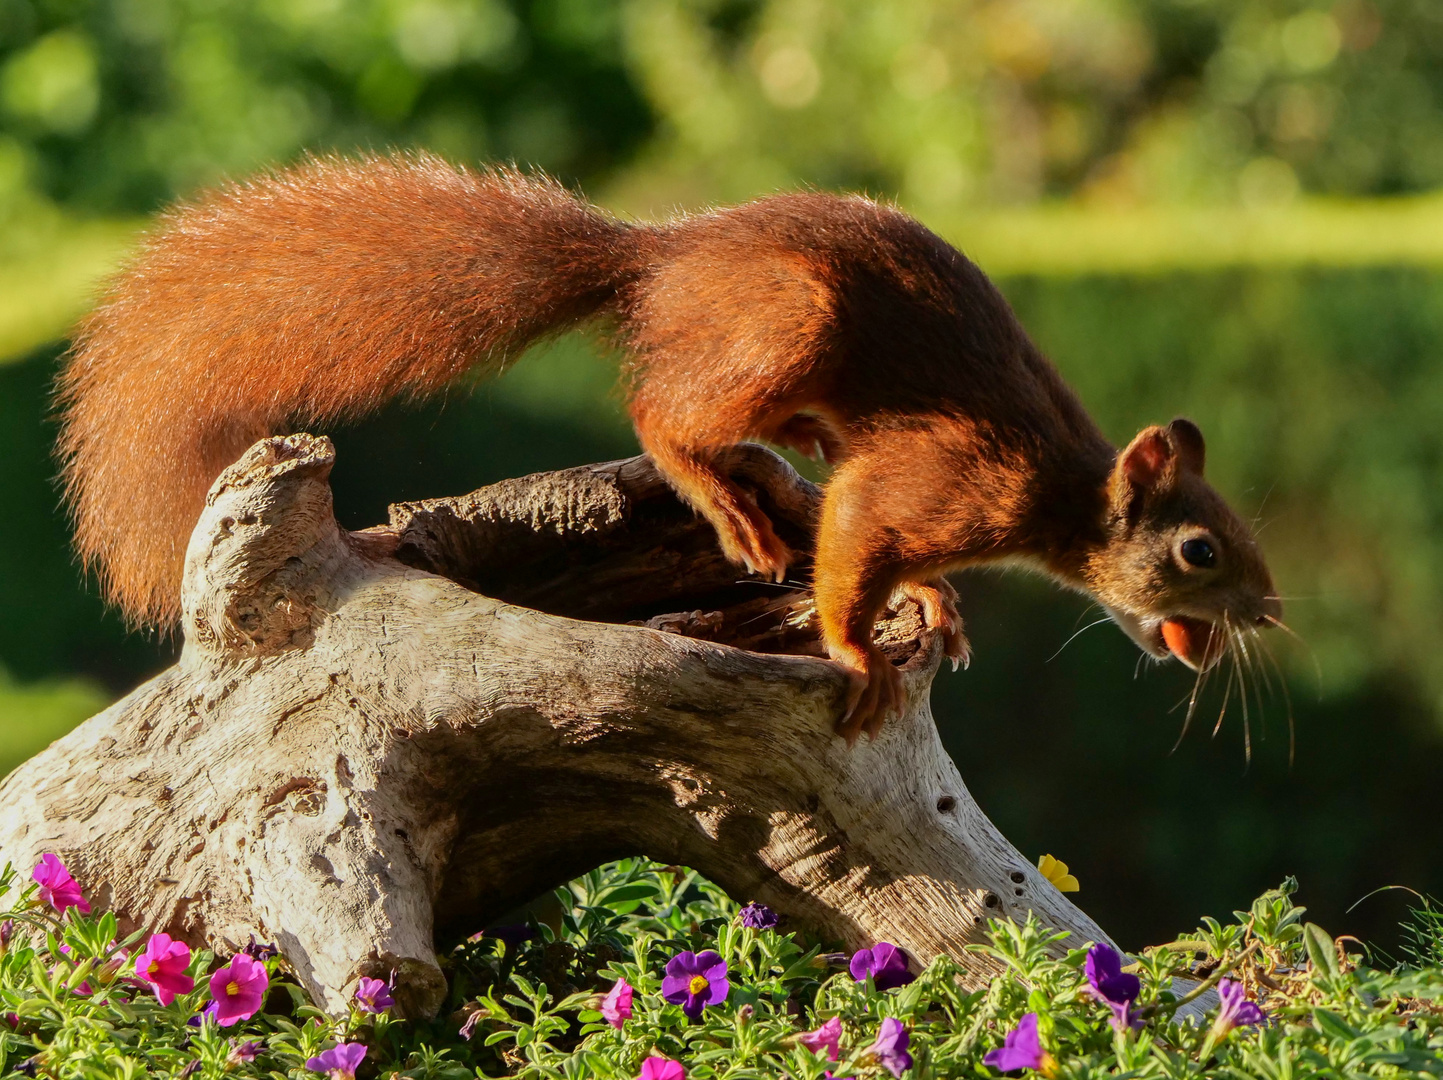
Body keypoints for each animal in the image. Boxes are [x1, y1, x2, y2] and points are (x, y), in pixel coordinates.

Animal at [56, 153, 1275, 745]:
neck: (1062, 497)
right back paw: (722, 496)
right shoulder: (946, 482)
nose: (1265, 617)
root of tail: (656, 262)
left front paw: (932, 604)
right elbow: (859, 535)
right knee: (658, 412)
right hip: (789, 325)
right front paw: (855, 648)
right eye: (1201, 551)